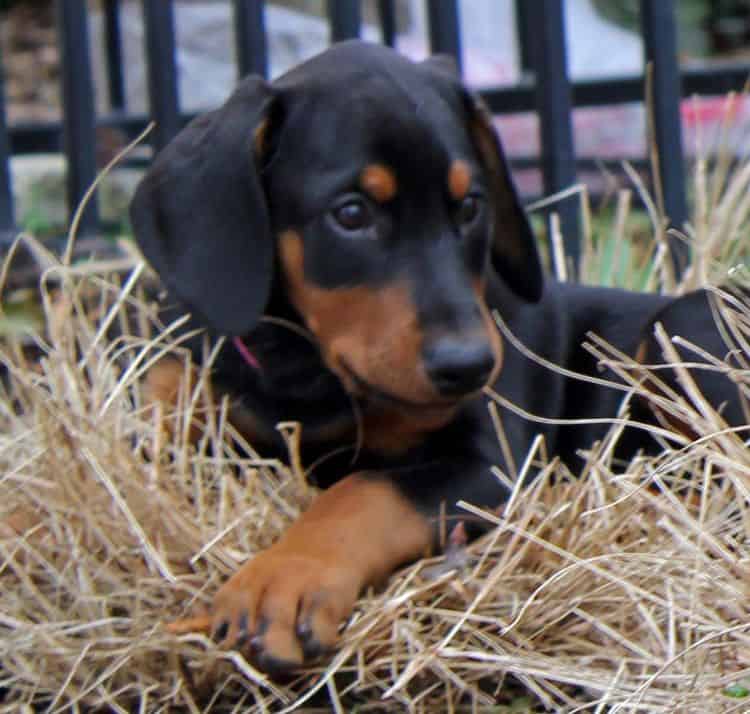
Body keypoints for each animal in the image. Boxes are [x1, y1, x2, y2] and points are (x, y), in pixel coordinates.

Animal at [129, 40, 748, 672]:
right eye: (351, 213)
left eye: (470, 205)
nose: (470, 366)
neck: (303, 372)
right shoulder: (168, 414)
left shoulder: (489, 462)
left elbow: (367, 491)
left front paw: (284, 579)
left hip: (686, 322)